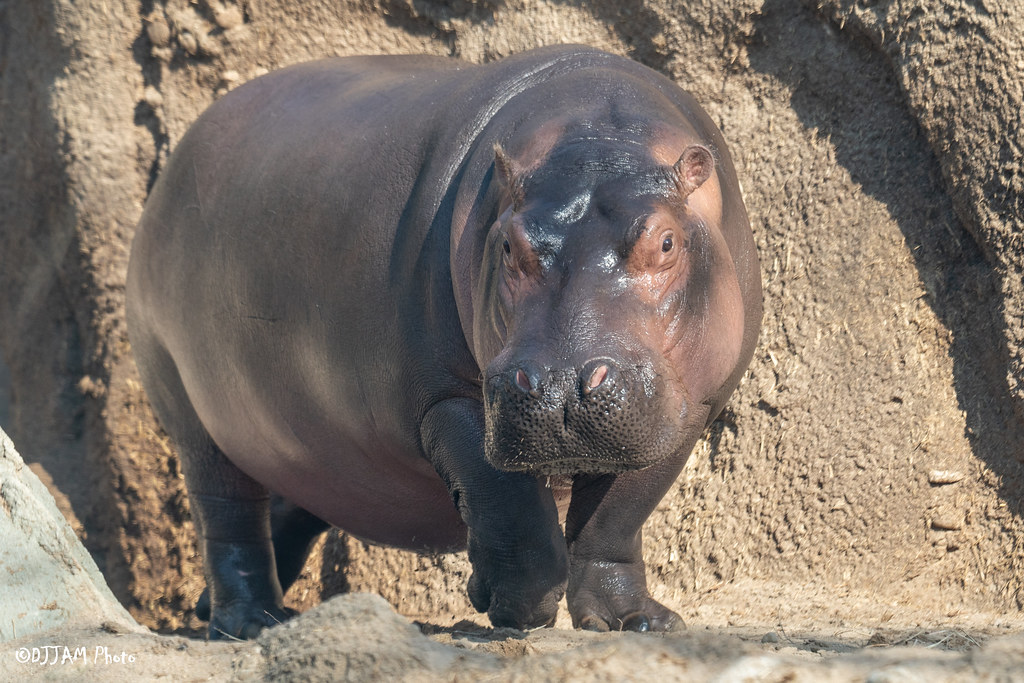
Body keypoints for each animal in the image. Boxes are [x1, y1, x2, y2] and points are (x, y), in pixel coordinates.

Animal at [126, 45, 762, 640]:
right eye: (507, 244)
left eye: (667, 242)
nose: (559, 387)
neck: (601, 134)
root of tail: (170, 171)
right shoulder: (446, 397)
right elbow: (504, 500)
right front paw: (514, 607)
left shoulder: (691, 409)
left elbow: (616, 518)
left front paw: (634, 622)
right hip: (189, 411)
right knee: (227, 514)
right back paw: (248, 621)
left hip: (303, 440)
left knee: (291, 503)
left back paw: (225, 609)